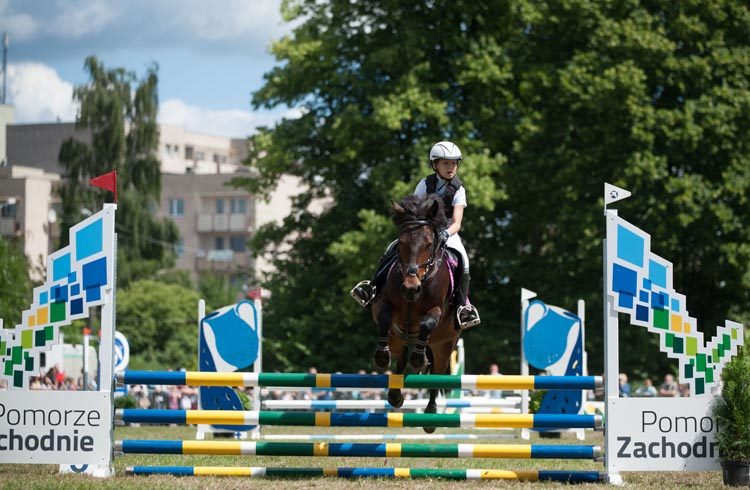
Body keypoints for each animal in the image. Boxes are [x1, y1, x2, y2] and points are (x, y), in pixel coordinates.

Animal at [372, 193, 462, 430]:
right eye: (401, 243)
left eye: (428, 244)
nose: (411, 288)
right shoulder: (385, 305)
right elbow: (384, 317)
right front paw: (381, 357)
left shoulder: (437, 310)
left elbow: (427, 323)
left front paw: (419, 359)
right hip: (396, 338)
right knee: (400, 358)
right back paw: (395, 395)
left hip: (444, 346)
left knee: (435, 374)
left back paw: (430, 415)